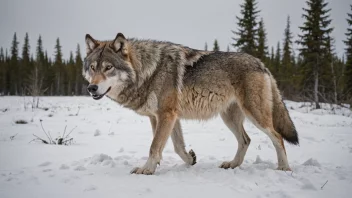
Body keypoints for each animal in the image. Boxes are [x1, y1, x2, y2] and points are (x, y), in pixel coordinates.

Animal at [83, 32, 300, 175]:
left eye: (108, 68)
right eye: (93, 68)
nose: (92, 88)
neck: (147, 71)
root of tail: (261, 63)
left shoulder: (166, 115)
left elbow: (154, 146)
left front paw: (146, 169)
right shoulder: (164, 117)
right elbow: (177, 147)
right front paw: (190, 160)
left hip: (255, 115)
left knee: (277, 137)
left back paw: (284, 168)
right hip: (229, 118)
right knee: (246, 140)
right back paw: (232, 164)